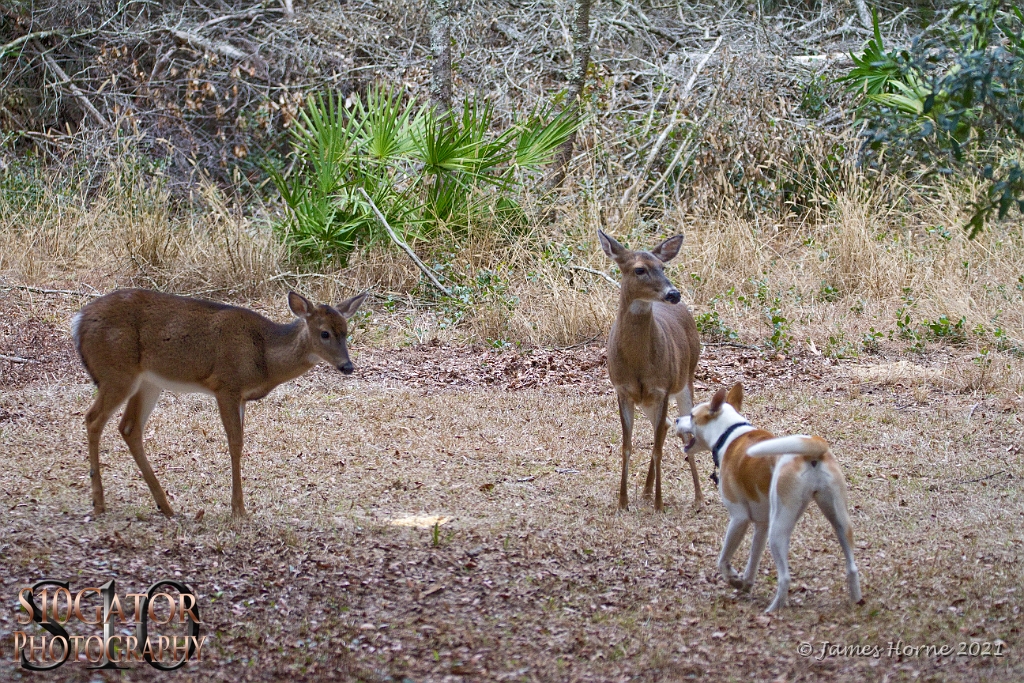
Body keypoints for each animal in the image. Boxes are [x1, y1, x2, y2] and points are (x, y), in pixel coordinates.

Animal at [73, 288, 368, 518]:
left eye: (346, 332)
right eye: (325, 333)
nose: (347, 366)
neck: (264, 357)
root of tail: (78, 321)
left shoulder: (242, 396)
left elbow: (240, 441)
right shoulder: (226, 385)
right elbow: (235, 443)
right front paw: (239, 509)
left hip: (148, 382)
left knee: (129, 427)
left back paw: (165, 506)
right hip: (117, 372)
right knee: (93, 418)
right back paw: (99, 502)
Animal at [598, 231, 704, 511]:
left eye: (663, 267)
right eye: (639, 269)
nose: (673, 294)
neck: (637, 363)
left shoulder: (662, 388)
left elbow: (656, 448)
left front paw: (659, 504)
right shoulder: (622, 390)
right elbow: (626, 445)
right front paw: (623, 502)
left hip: (686, 378)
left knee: (686, 431)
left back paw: (698, 497)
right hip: (646, 400)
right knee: (666, 425)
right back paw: (645, 491)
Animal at [675, 385, 860, 614]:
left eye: (692, 416)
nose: (676, 419)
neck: (730, 433)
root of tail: (812, 449)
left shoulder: (739, 519)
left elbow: (723, 560)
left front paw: (733, 578)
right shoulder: (761, 525)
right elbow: (753, 558)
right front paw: (745, 583)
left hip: (778, 530)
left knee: (785, 578)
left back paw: (773, 610)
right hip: (839, 520)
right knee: (852, 566)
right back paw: (856, 601)